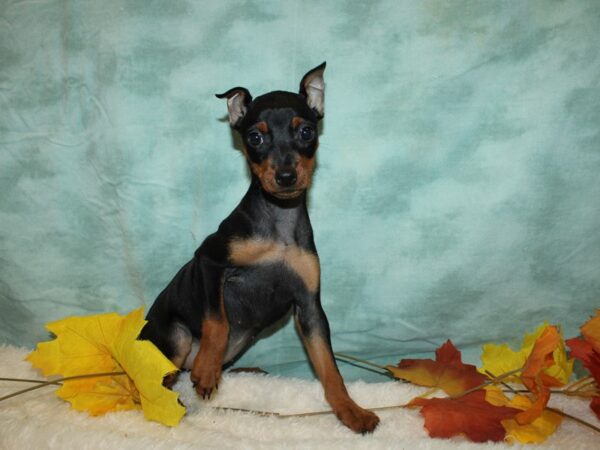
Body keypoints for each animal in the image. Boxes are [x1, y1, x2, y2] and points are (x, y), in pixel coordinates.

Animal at [139, 63, 380, 432]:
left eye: (307, 131)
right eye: (255, 138)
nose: (285, 176)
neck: (278, 222)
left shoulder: (309, 307)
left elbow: (329, 367)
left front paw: (350, 411)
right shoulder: (209, 262)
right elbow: (217, 322)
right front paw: (206, 371)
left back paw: (245, 370)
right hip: (175, 337)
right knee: (155, 379)